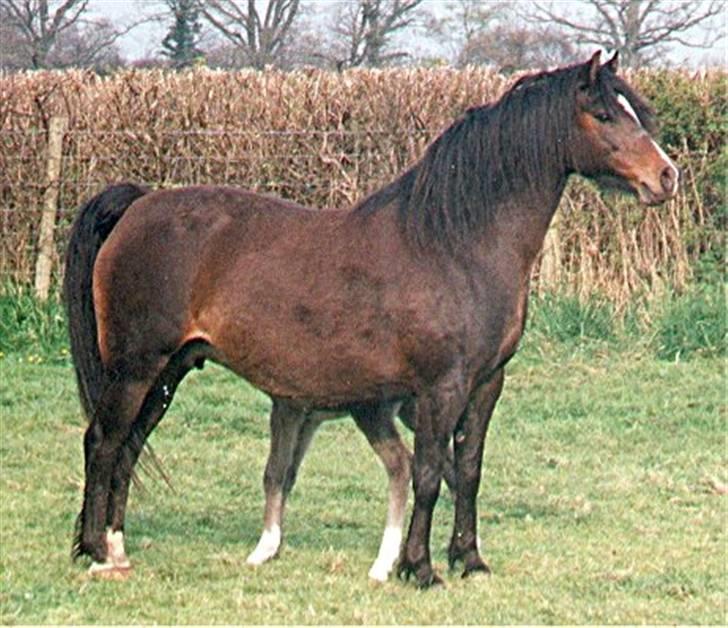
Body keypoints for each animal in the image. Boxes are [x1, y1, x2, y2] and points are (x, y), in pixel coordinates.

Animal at [64, 51, 678, 587]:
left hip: (170, 371)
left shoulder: (486, 384)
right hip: (137, 368)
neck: (454, 244)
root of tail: (139, 205)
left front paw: (469, 560)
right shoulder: (439, 388)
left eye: (635, 111)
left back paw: (117, 546)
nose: (666, 176)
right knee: (103, 441)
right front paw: (419, 568)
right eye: (604, 114)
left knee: (129, 446)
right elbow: (428, 473)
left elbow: (468, 470)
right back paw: (93, 549)